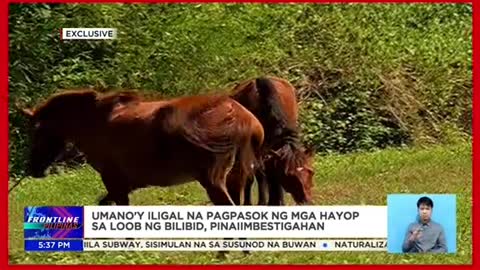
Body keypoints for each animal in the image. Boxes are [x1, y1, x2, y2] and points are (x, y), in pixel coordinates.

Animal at [20, 88, 264, 207]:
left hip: (213, 180)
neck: (95, 121)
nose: (33, 168)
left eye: (37, 132)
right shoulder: (127, 183)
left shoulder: (114, 181)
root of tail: (242, 116)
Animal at [232, 76, 316, 205]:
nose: (306, 202)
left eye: (311, 172)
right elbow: (259, 173)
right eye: (290, 176)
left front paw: (277, 201)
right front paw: (263, 202)